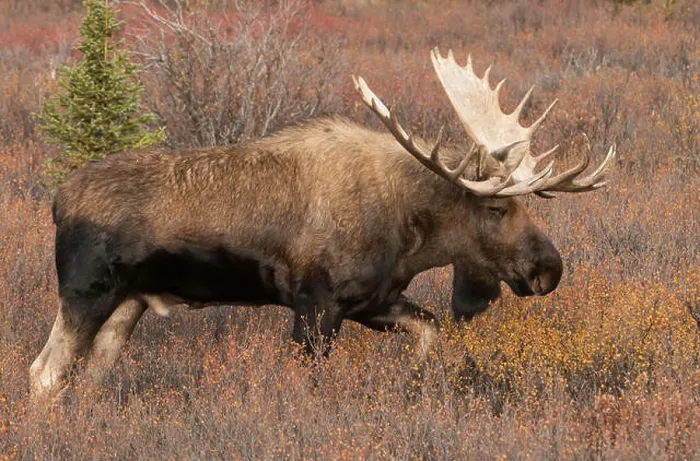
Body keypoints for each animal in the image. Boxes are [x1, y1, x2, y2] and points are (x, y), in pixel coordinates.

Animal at [30, 48, 614, 399]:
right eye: (497, 208)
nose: (549, 269)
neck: (408, 231)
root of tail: (58, 199)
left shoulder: (373, 301)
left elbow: (432, 336)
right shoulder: (316, 305)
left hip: (129, 303)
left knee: (90, 374)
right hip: (86, 291)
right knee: (44, 374)